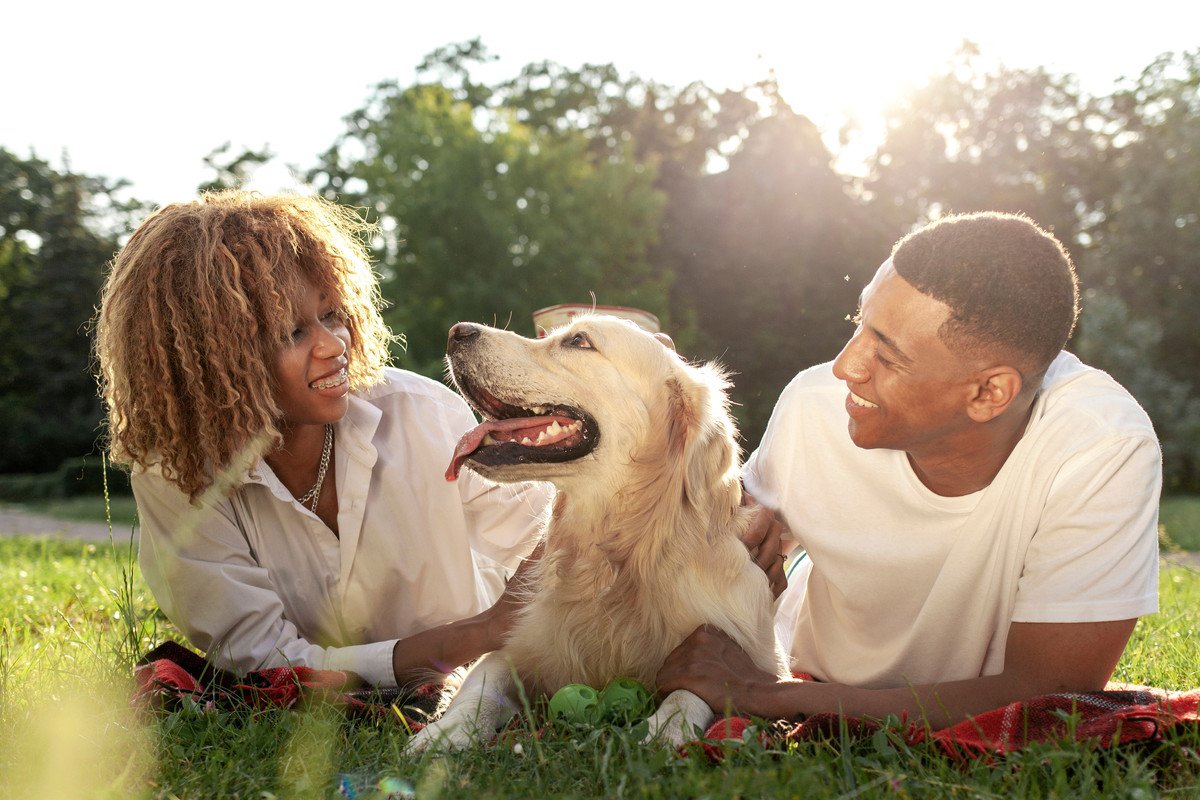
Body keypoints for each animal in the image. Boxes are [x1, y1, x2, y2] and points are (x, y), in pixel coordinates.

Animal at [408, 316, 792, 753]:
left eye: (579, 340)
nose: (457, 332)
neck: (617, 558)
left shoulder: (753, 653)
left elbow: (696, 689)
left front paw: (667, 728)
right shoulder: (515, 647)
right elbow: (481, 688)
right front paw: (445, 732)